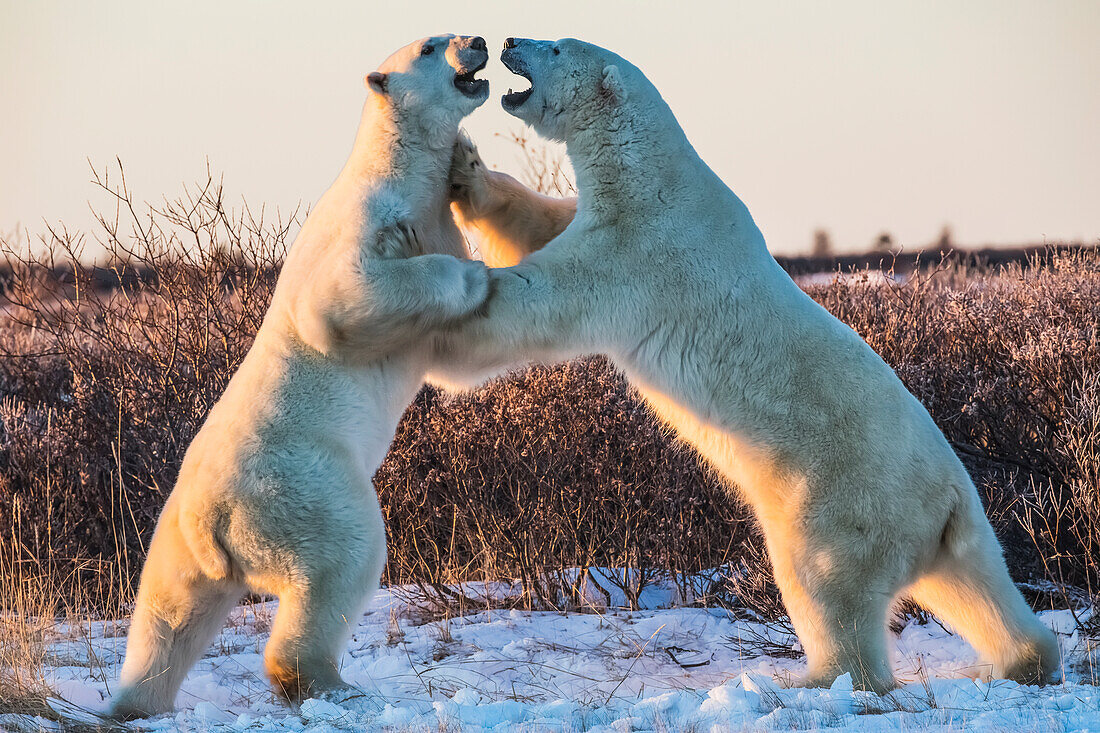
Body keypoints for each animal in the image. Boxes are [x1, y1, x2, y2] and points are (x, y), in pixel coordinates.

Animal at [110, 32, 490, 713]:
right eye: (430, 45)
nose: (477, 42)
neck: (399, 171)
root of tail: (213, 521)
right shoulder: (363, 223)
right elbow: (338, 298)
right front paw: (468, 274)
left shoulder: (433, 223)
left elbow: (452, 358)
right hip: (302, 489)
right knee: (345, 558)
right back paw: (330, 683)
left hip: (173, 532)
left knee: (167, 616)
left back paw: (131, 701)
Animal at [440, 38, 1064, 691]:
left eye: (557, 45)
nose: (510, 41)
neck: (650, 173)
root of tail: (945, 501)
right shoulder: (612, 217)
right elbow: (538, 222)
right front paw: (464, 164)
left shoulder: (644, 249)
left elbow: (552, 292)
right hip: (957, 525)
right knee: (978, 586)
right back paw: (1023, 659)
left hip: (839, 500)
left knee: (824, 582)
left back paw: (812, 679)